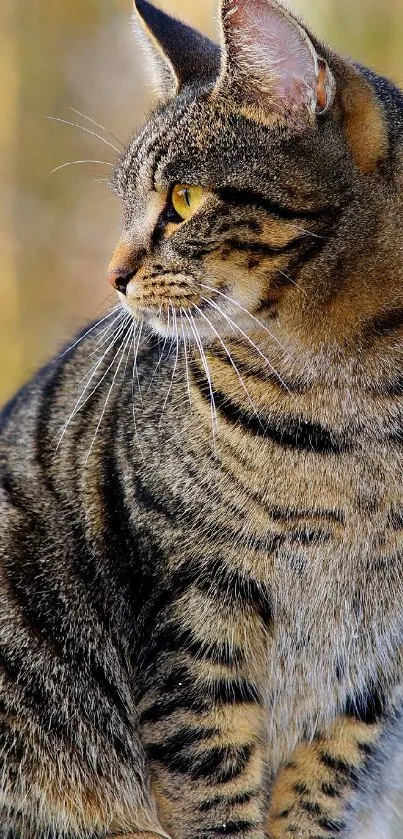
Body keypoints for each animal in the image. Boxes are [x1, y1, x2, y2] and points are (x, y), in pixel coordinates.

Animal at [0, 0, 403, 836]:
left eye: (182, 200)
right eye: (125, 203)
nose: (112, 275)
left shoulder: (378, 664)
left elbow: (321, 781)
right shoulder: (197, 603)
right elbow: (214, 788)